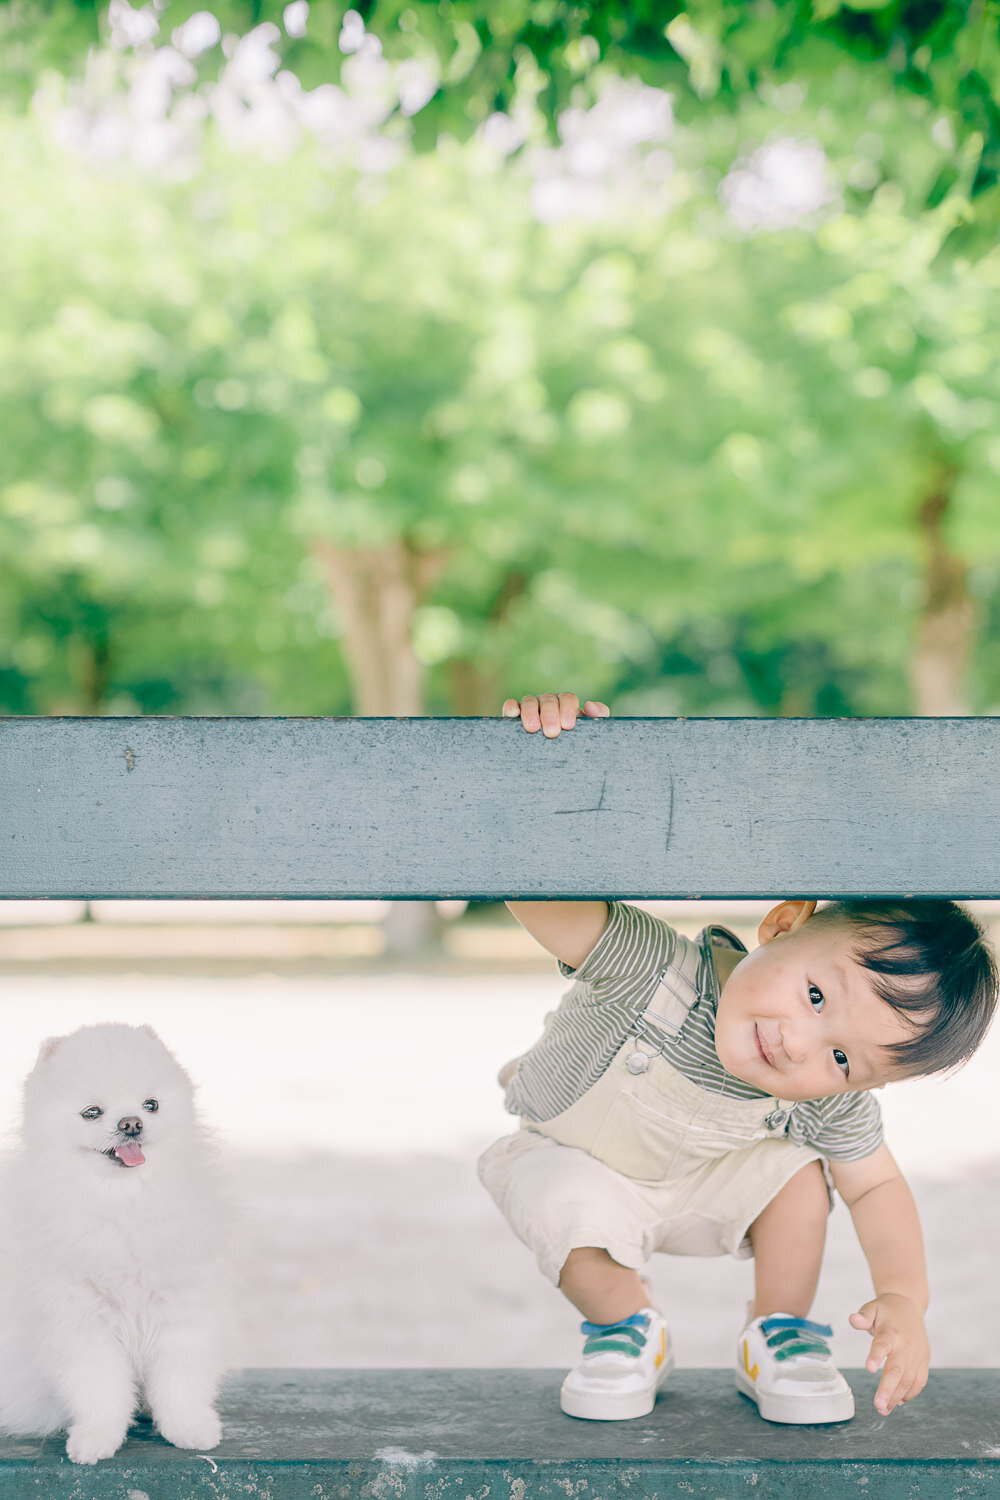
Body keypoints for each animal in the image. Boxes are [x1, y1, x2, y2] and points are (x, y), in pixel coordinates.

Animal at [0, 1026, 229, 1458]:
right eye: (92, 1112)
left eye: (151, 1105)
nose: (132, 1123)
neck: (123, 1202)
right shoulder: (81, 1318)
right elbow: (99, 1390)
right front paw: (96, 1440)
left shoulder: (180, 1307)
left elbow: (180, 1382)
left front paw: (190, 1430)